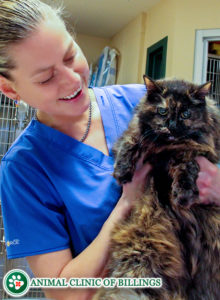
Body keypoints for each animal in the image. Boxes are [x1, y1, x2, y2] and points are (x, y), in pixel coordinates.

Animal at [93, 77, 220, 300]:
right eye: (162, 111)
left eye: (186, 114)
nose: (171, 126)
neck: (167, 148)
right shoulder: (134, 134)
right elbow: (131, 142)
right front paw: (122, 171)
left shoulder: (196, 152)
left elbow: (186, 166)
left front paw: (183, 193)